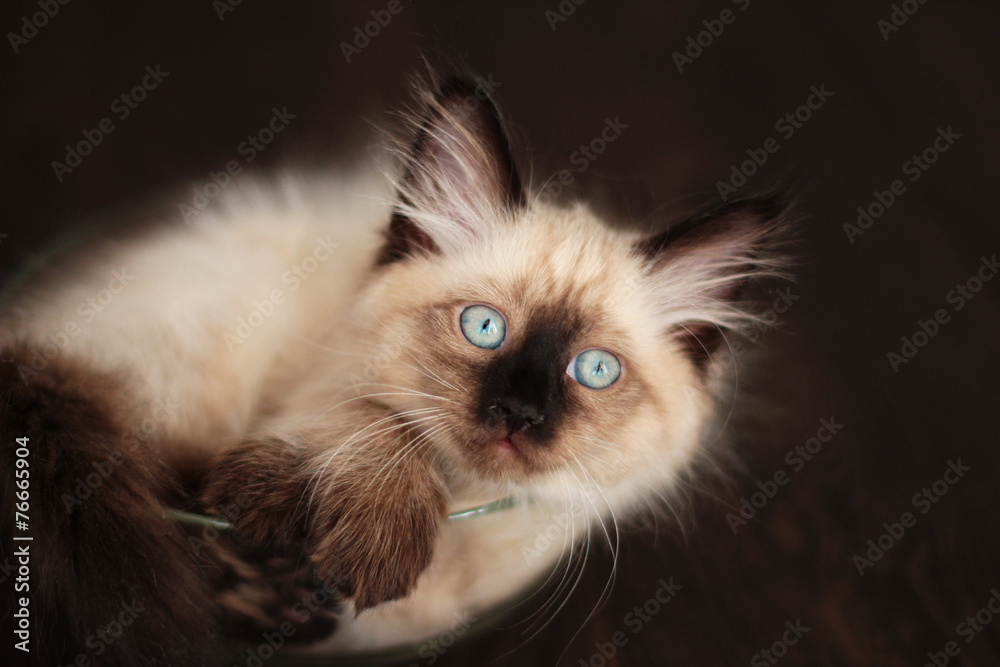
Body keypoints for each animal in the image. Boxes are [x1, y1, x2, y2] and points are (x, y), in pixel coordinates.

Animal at [0, 68, 788, 664]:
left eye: (594, 370)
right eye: (483, 328)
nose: (518, 414)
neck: (462, 509)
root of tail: (26, 340)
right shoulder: (312, 394)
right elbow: (376, 417)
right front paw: (353, 543)